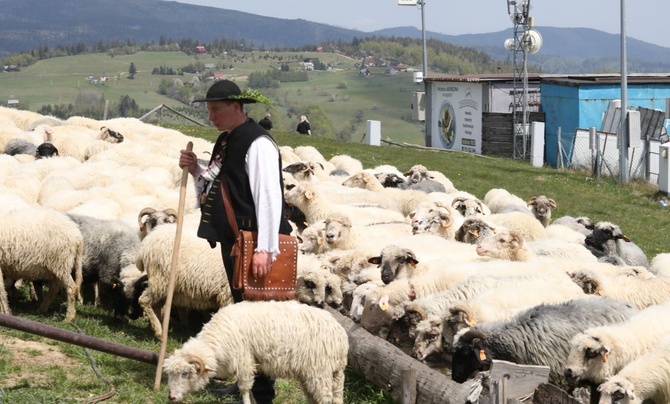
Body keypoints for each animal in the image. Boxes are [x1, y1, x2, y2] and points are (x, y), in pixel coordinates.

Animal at [165, 300, 350, 404]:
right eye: (170, 374)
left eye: (185, 373)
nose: (171, 398)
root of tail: (341, 335)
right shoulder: (250, 362)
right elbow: (250, 388)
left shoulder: (244, 360)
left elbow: (244, 388)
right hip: (324, 373)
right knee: (327, 397)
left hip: (319, 371)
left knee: (324, 398)